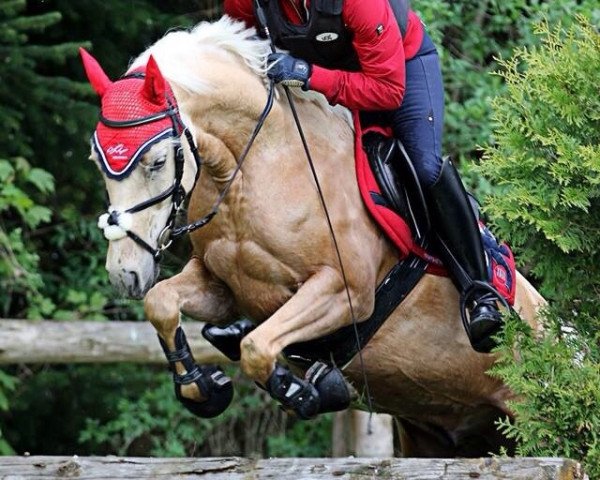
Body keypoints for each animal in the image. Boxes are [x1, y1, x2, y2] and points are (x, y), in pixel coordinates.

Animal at [81, 16, 548, 456]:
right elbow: (162, 303)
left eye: (157, 161)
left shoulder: (346, 291)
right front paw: (203, 388)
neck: (255, 169)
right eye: (97, 161)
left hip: (522, 413)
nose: (125, 273)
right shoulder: (223, 286)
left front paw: (308, 391)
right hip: (431, 435)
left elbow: (256, 346)